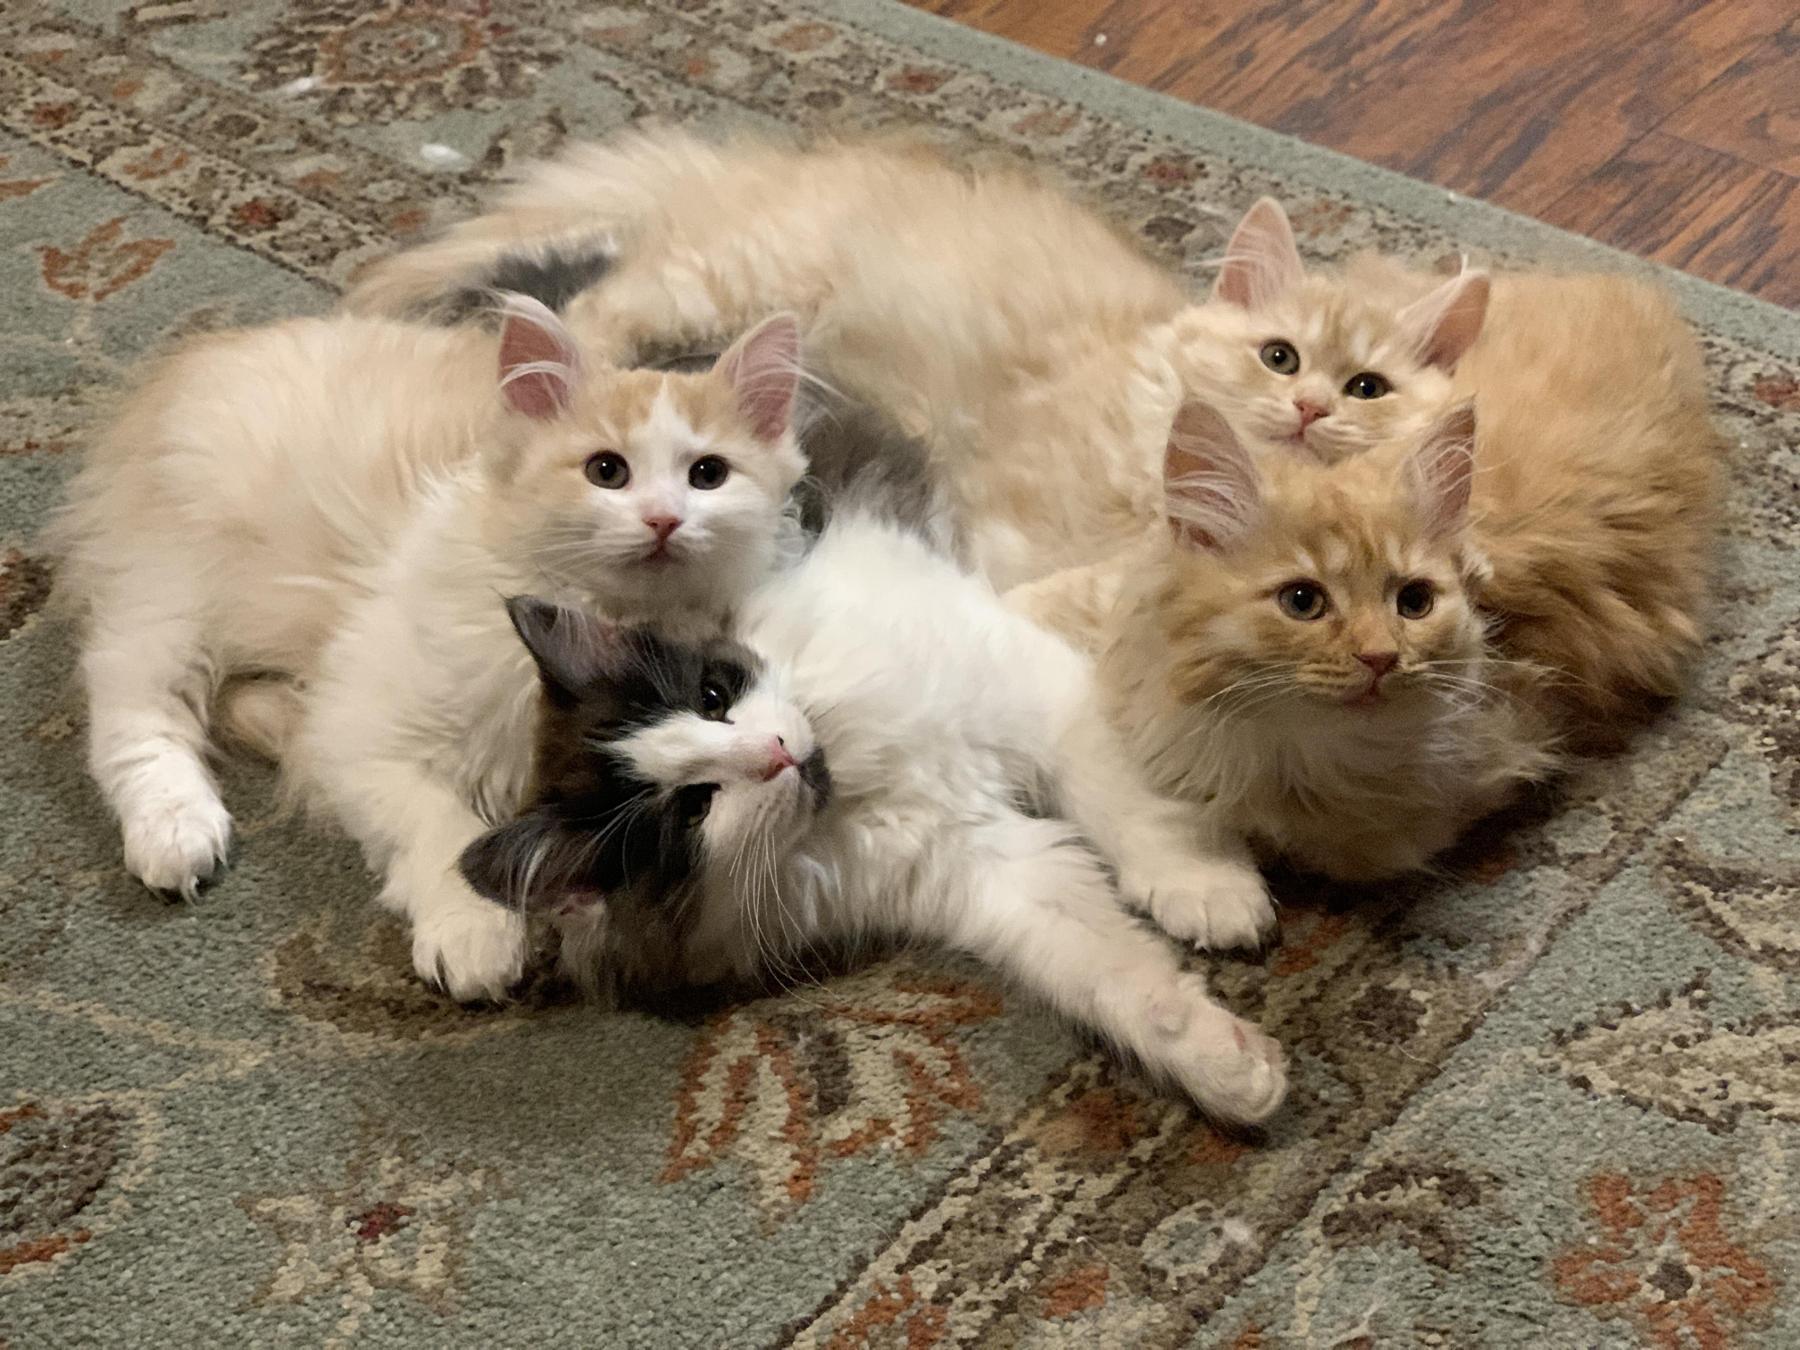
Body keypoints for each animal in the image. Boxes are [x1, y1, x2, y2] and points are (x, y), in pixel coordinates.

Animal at [56, 296, 804, 997]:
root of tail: (200, 354)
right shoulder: (363, 727)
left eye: (708, 475)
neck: (607, 619)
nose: (663, 520)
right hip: (173, 592)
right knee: (130, 706)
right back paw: (176, 829)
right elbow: (444, 828)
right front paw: (474, 934)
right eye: (606, 471)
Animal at [347, 129, 1488, 589]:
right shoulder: (1021, 516)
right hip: (724, 282)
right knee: (589, 313)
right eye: (1278, 357)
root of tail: (766, 162)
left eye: (1367, 388)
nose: (1310, 411)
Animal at [458, 508, 1286, 1125]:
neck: (858, 781)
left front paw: (1206, 887)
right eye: (693, 810)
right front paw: (1228, 1067)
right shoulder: (992, 870)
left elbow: (1129, 801)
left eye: (713, 698)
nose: (775, 754)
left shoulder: (1036, 692)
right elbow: (1117, 977)